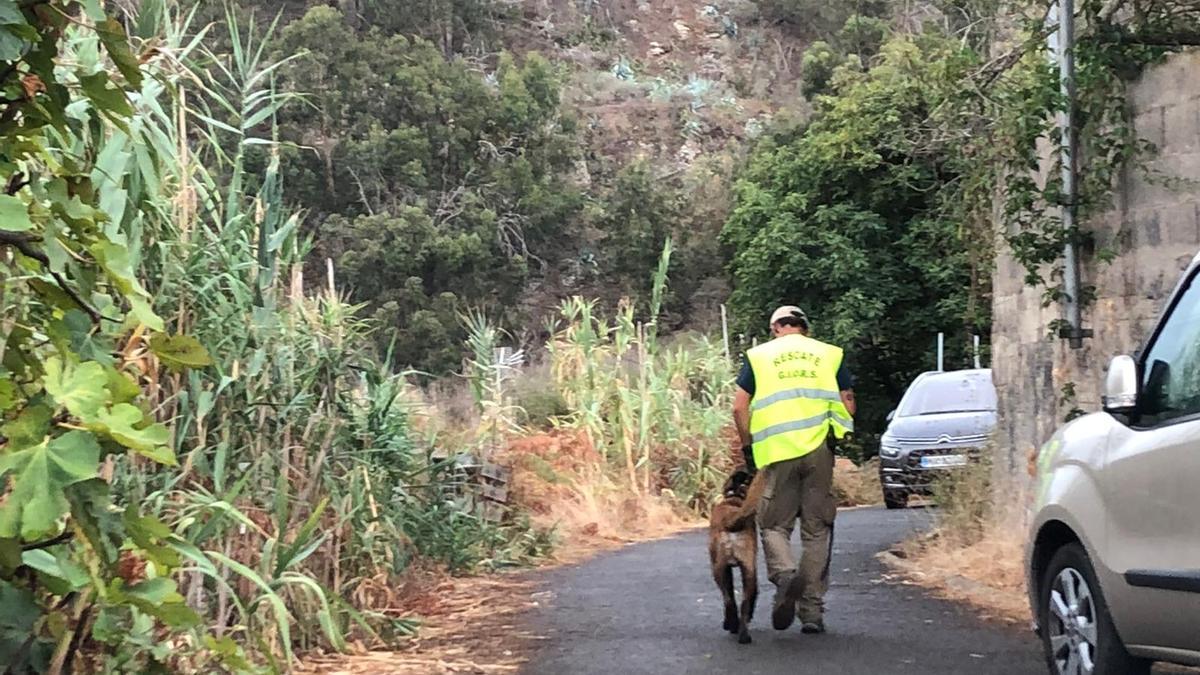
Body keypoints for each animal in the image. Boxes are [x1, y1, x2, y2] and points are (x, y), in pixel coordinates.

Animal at [710, 466, 758, 643]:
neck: (734, 497)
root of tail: (730, 519)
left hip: (718, 570)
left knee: (729, 600)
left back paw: (732, 625)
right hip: (749, 570)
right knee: (743, 602)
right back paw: (744, 635)